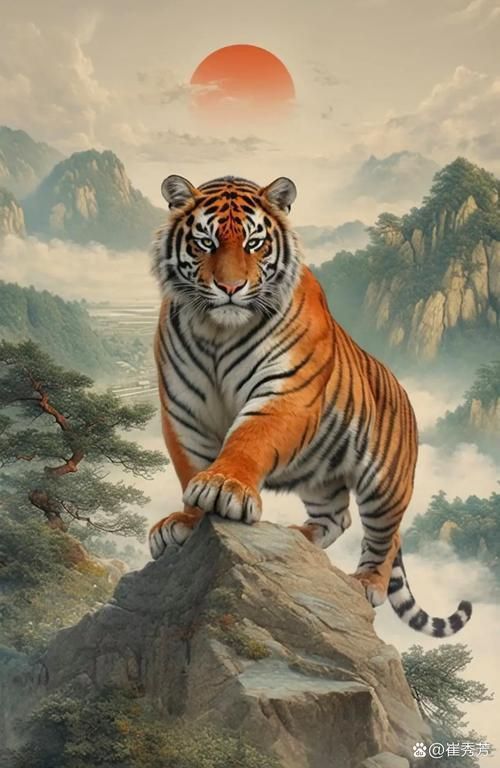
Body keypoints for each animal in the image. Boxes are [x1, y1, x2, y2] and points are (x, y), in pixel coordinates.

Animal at [149, 173, 472, 638]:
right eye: (205, 243)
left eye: (254, 244)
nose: (230, 289)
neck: (217, 332)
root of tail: (404, 390)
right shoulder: (184, 407)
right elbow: (190, 464)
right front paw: (187, 523)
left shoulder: (286, 392)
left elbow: (249, 438)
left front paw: (224, 487)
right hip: (321, 476)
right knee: (339, 517)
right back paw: (300, 537)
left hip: (385, 485)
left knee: (386, 536)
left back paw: (367, 583)